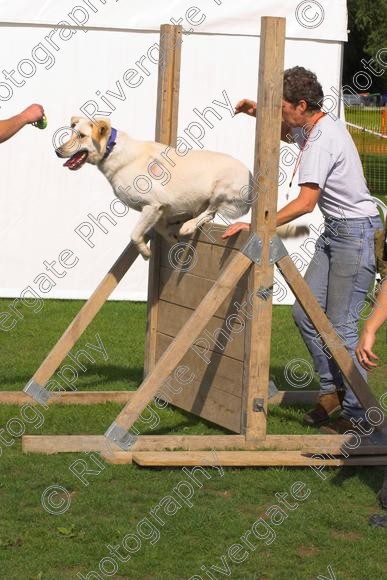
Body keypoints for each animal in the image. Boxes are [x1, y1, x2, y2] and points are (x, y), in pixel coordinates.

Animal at [56, 118, 306, 258]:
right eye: (71, 133)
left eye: (81, 136)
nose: (57, 151)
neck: (112, 150)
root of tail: (254, 183)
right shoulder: (159, 208)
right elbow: (159, 229)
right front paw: (171, 238)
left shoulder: (152, 204)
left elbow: (135, 235)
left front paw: (146, 253)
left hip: (221, 187)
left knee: (211, 212)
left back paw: (188, 226)